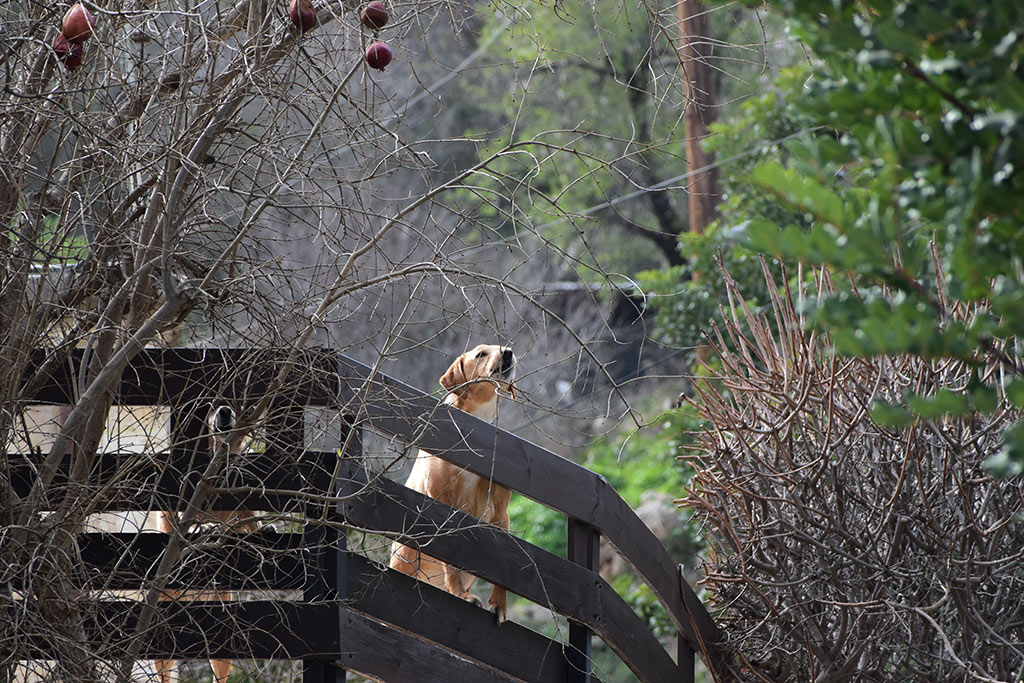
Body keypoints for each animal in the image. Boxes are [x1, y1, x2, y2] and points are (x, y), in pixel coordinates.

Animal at [387, 344, 516, 622]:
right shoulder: (443, 504)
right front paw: (460, 595)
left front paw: (499, 604)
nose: (509, 352)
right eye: (481, 354)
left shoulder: (501, 514)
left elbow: (503, 570)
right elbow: (451, 562)